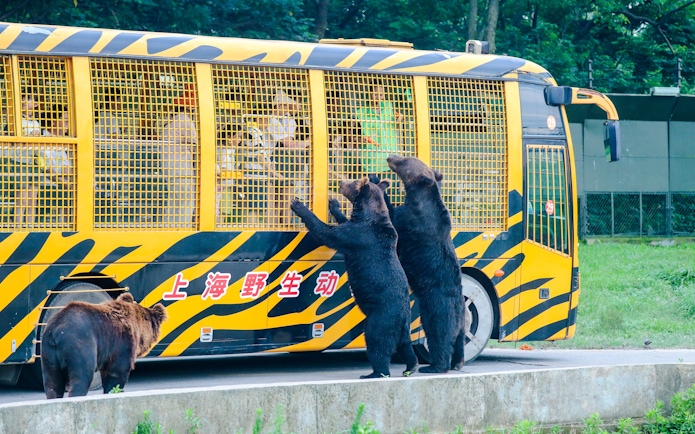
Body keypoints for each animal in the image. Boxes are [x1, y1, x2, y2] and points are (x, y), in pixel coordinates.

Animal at [290, 177, 418, 379]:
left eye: (353, 181)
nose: (340, 182)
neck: (369, 215)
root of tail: (402, 318)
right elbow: (343, 222)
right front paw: (334, 204)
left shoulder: (359, 237)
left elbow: (328, 234)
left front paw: (299, 205)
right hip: (404, 324)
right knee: (405, 344)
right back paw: (411, 366)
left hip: (382, 317)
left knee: (377, 342)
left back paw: (375, 372)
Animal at [376, 154, 466, 373]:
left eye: (406, 159)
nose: (390, 156)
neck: (420, 197)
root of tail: (460, 309)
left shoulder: (413, 222)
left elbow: (392, 217)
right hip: (460, 318)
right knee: (459, 339)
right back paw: (458, 362)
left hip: (438, 307)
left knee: (439, 335)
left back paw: (435, 366)